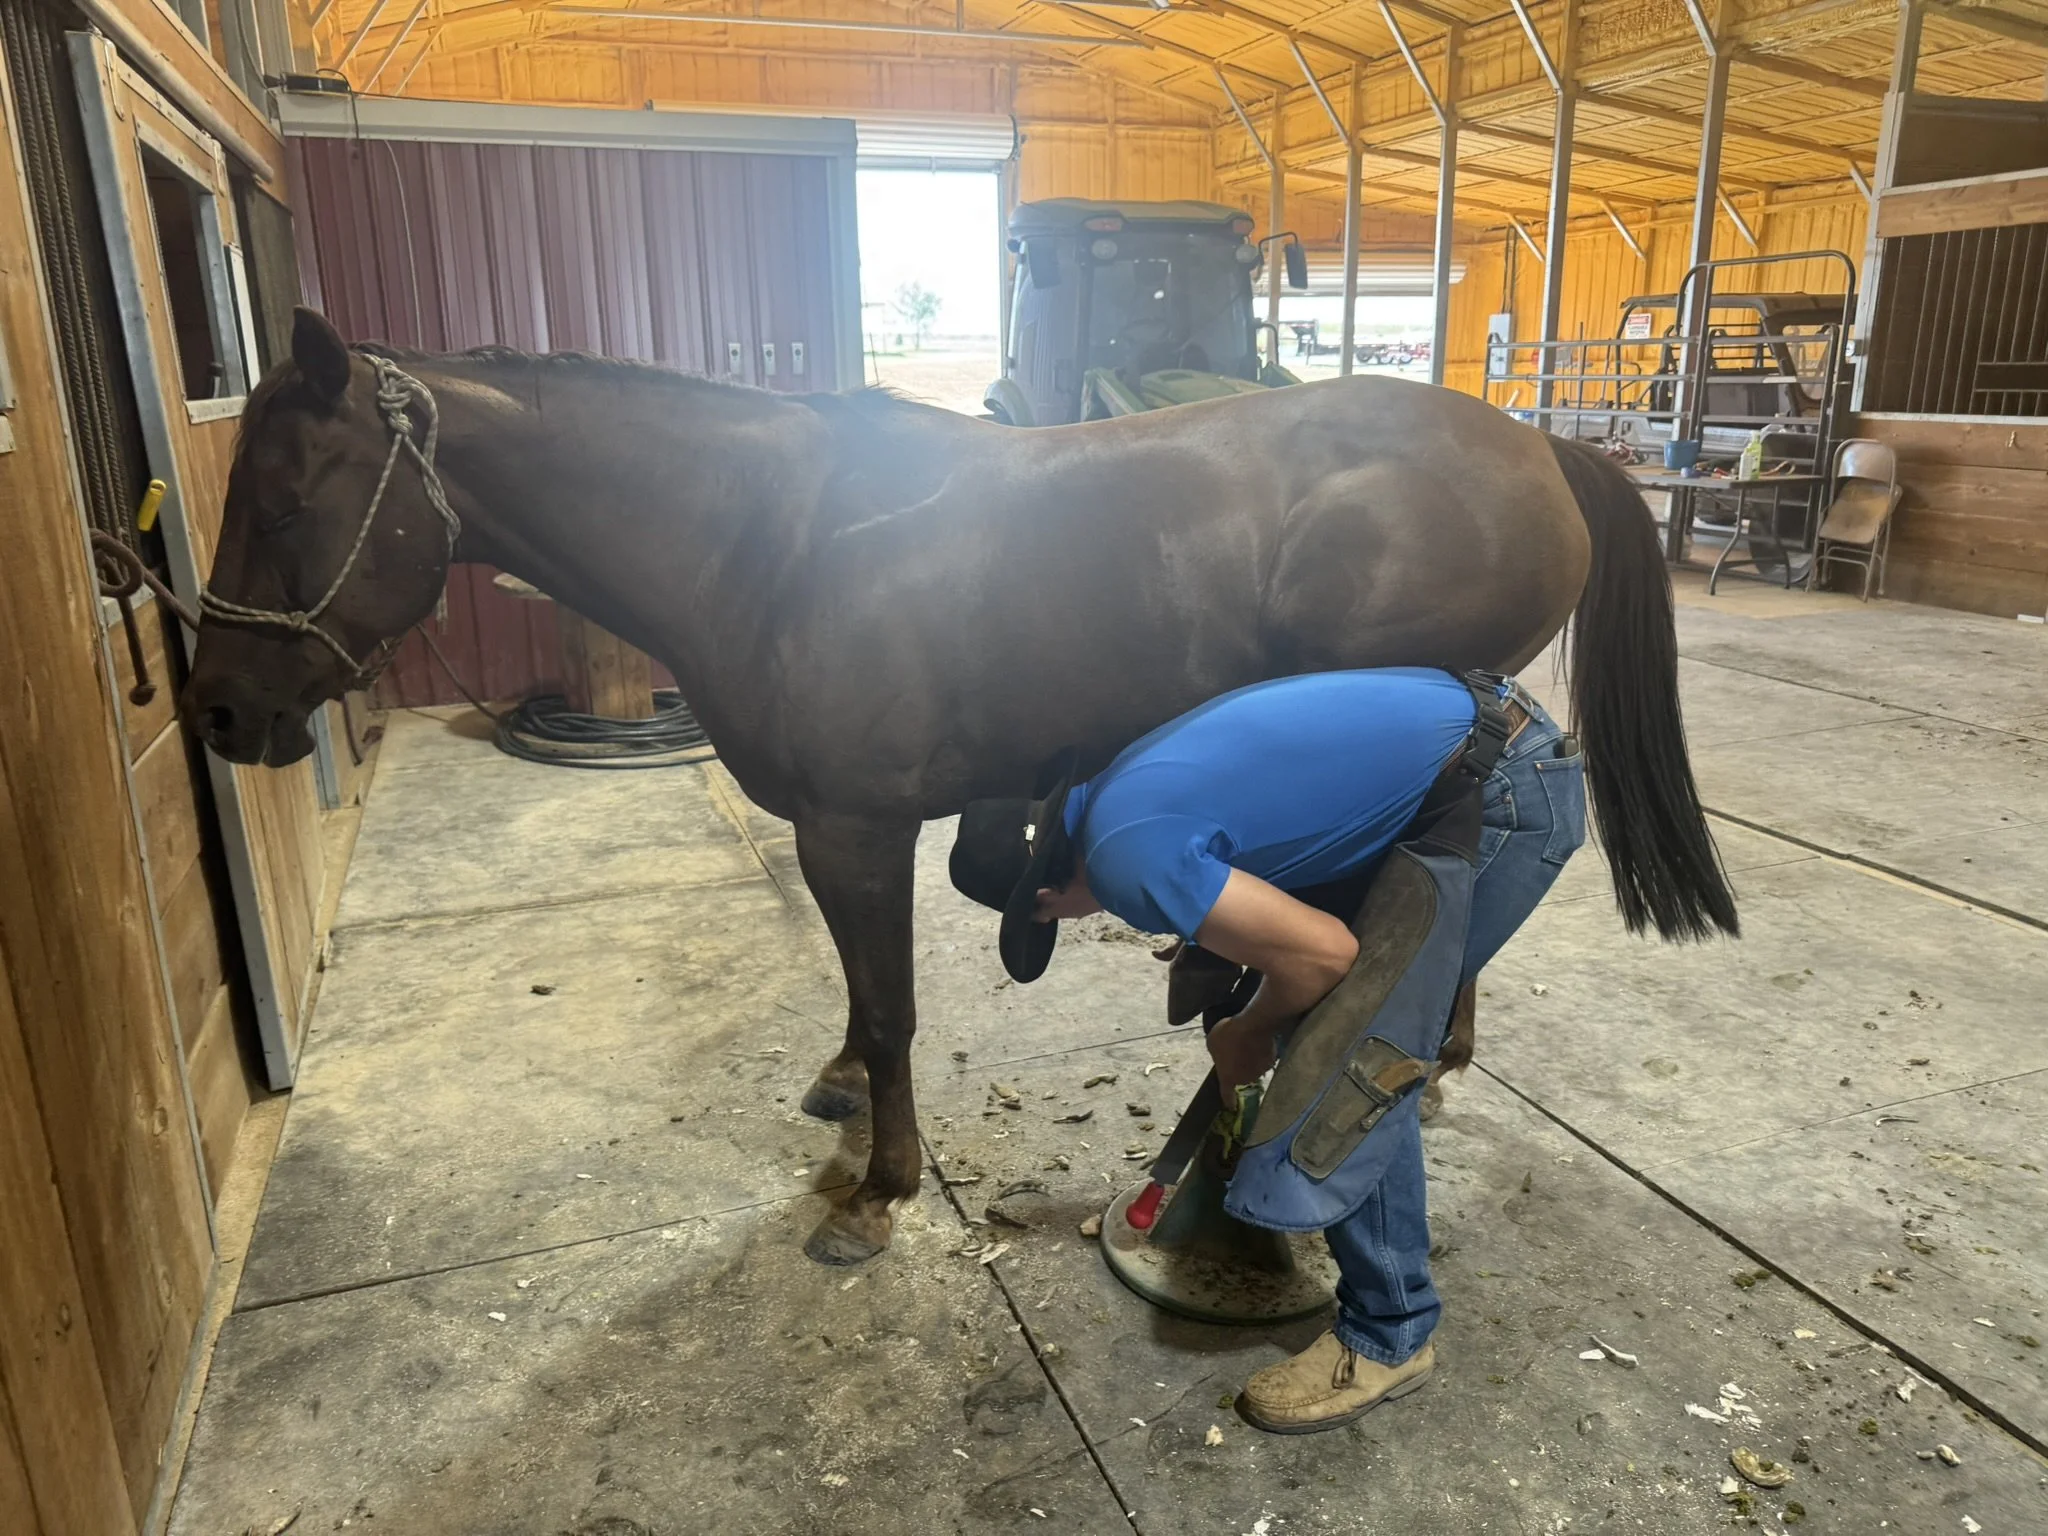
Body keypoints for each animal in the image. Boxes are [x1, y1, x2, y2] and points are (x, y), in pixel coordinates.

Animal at [184, 308, 1736, 1266]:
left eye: (283, 503)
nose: (219, 709)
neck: (771, 538)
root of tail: (1541, 447)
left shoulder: (855, 827)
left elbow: (891, 1009)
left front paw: (880, 1189)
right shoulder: (844, 834)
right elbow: (859, 997)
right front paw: (843, 1100)